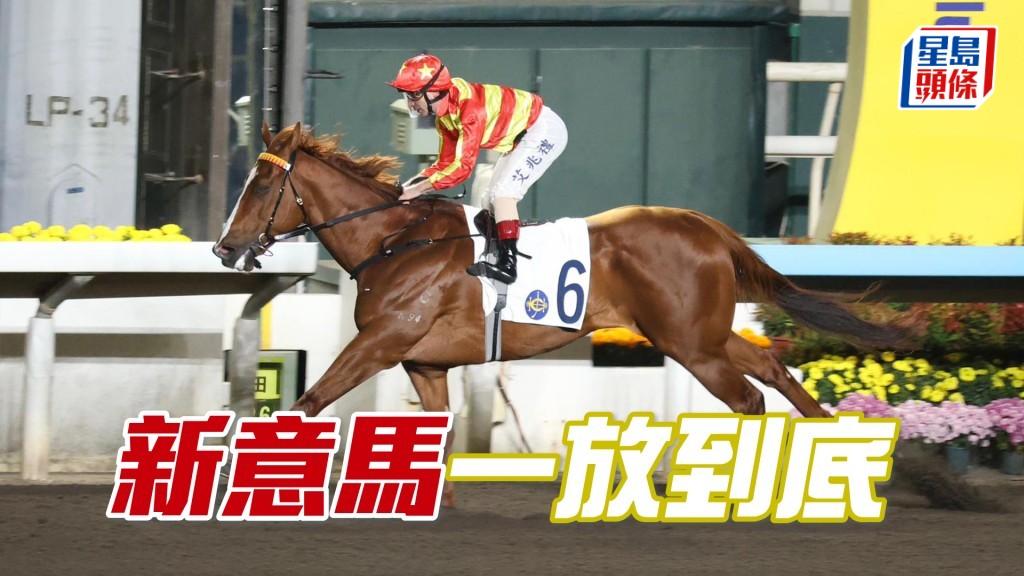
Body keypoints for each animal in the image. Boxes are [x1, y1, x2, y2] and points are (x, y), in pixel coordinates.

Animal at [214, 123, 914, 504]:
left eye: (259, 184)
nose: (223, 248)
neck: (396, 241)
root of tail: (710, 228)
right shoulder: (424, 363)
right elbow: (435, 431)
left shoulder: (382, 342)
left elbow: (308, 403)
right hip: (704, 334)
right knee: (771, 370)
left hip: (692, 344)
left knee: (748, 398)